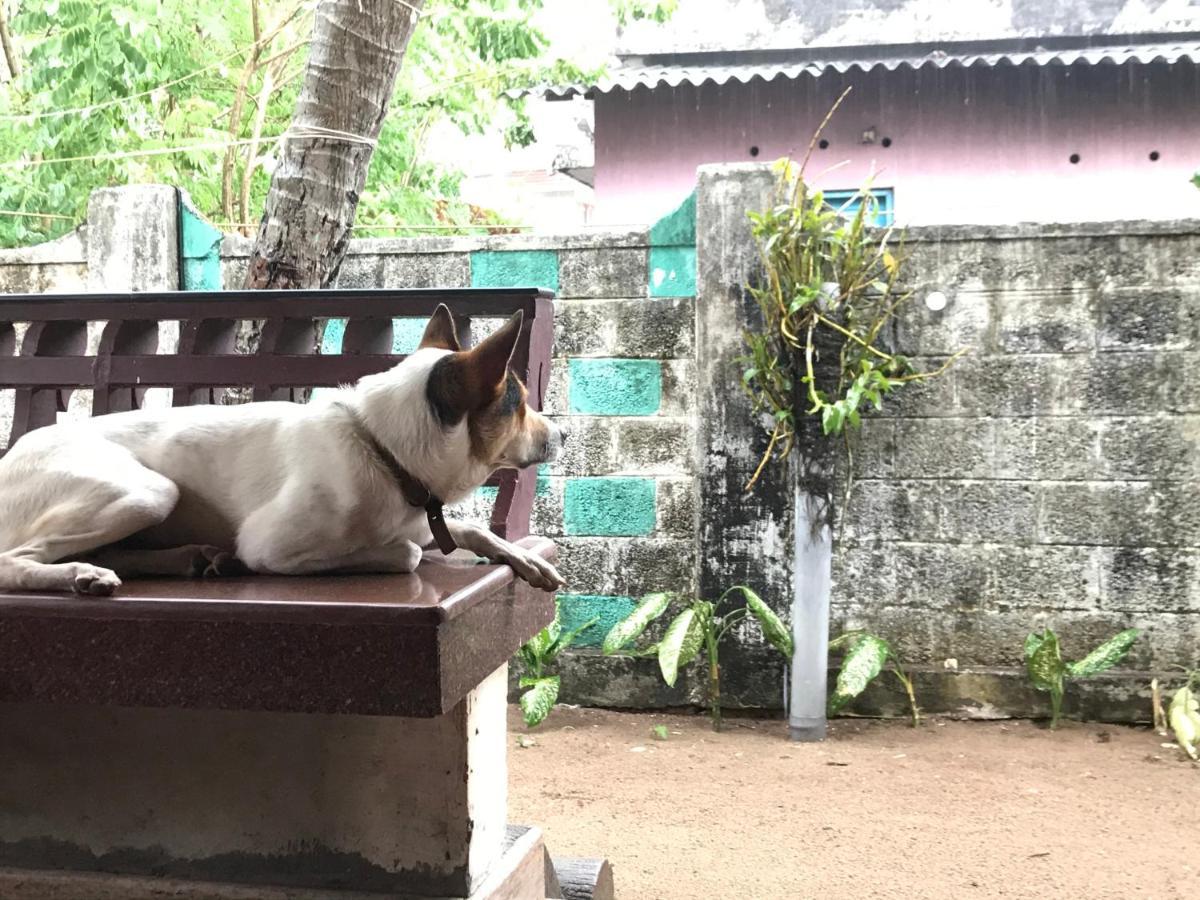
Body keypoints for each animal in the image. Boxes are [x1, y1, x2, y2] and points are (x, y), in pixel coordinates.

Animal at [0, 304, 568, 600]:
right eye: (519, 403)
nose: (562, 436)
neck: (379, 446)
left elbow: (466, 529)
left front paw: (517, 554)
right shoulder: (269, 546)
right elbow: (406, 552)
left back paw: (186, 559)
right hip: (146, 492)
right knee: (15, 560)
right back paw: (80, 575)